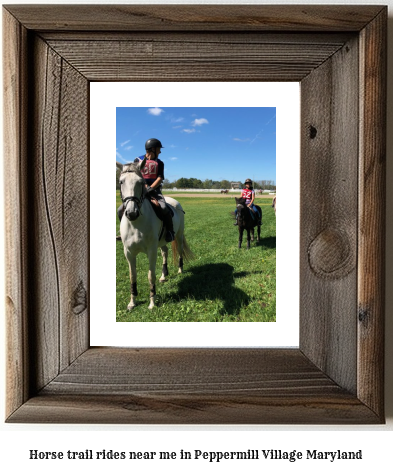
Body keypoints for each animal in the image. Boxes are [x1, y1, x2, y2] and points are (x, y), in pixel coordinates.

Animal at [117, 159, 192, 312]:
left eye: (140, 182)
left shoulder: (151, 251)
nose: (132, 213)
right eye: (121, 182)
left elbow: (150, 275)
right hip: (161, 242)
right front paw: (132, 302)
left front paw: (152, 302)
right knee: (165, 252)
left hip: (179, 236)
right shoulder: (128, 253)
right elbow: (132, 276)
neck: (136, 224)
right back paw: (163, 275)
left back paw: (180, 270)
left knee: (180, 251)